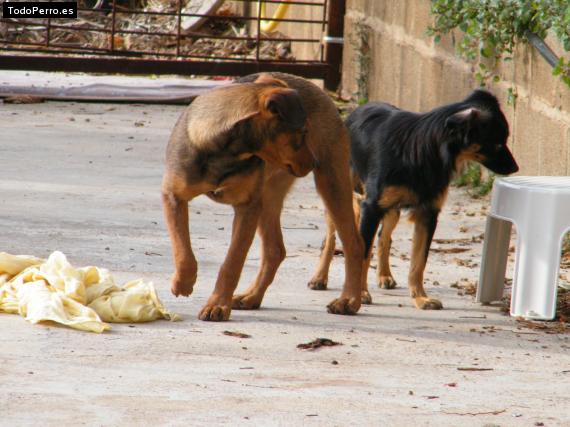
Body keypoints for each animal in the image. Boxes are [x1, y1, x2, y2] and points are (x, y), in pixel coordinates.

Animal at [162, 73, 362, 320]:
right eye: (303, 132)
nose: (314, 162)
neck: (226, 152)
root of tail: (318, 89)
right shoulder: (173, 196)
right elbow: (182, 249)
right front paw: (184, 283)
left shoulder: (247, 207)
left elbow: (232, 262)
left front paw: (217, 305)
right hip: (268, 197)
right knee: (275, 250)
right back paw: (251, 297)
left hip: (331, 184)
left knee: (354, 243)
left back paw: (349, 300)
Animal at [312, 91, 516, 310]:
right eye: (498, 143)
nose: (516, 168)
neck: (421, 151)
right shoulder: (371, 208)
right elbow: (362, 254)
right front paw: (358, 296)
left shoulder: (427, 214)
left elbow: (419, 262)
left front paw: (420, 298)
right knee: (331, 238)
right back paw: (319, 278)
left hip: (392, 210)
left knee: (384, 238)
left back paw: (384, 276)